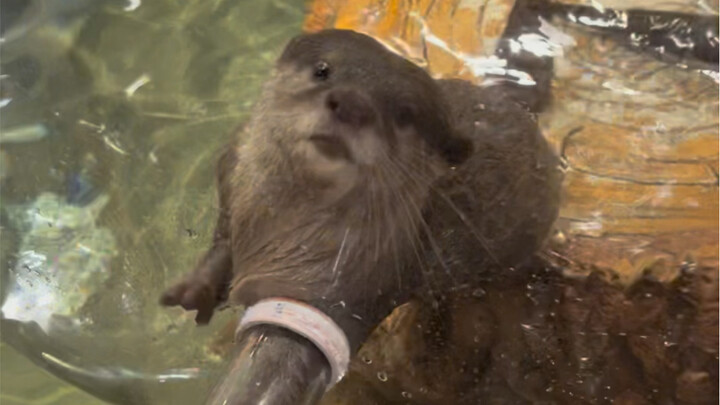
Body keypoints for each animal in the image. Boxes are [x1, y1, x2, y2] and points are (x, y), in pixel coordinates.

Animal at [160, 25, 560, 385]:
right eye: (323, 70)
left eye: (404, 114)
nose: (352, 104)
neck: (280, 236)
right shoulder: (232, 188)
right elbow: (221, 246)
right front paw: (193, 294)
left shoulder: (360, 290)